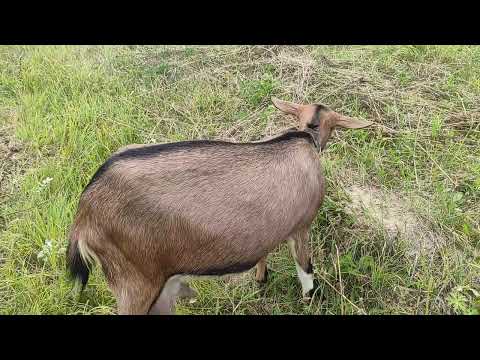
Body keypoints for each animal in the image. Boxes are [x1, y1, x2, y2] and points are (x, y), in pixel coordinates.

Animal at [66, 97, 372, 314]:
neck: (305, 138)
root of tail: (84, 214)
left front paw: (261, 279)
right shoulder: (301, 226)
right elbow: (306, 271)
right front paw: (311, 299)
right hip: (135, 284)